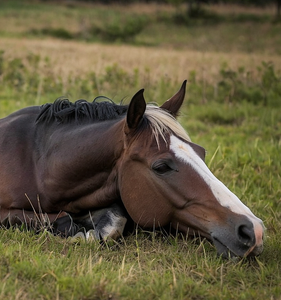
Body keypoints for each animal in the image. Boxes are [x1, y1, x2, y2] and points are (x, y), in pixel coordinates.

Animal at [0, 82, 262, 258]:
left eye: (202, 152)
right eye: (161, 166)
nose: (253, 230)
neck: (38, 162)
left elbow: (115, 220)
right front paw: (75, 230)